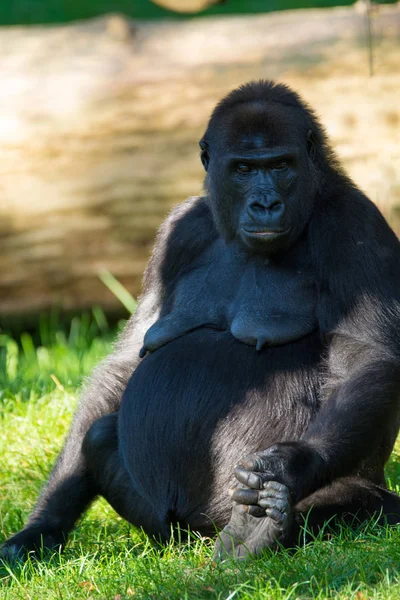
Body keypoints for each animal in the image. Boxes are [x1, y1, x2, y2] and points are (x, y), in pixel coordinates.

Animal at [3, 79, 400, 564]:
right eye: (244, 168)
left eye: (281, 165)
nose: (265, 204)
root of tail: (201, 536)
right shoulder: (179, 230)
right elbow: (127, 363)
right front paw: (44, 524)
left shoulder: (354, 226)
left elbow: (366, 359)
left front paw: (290, 467)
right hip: (171, 531)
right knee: (97, 438)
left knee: (356, 491)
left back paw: (261, 531)